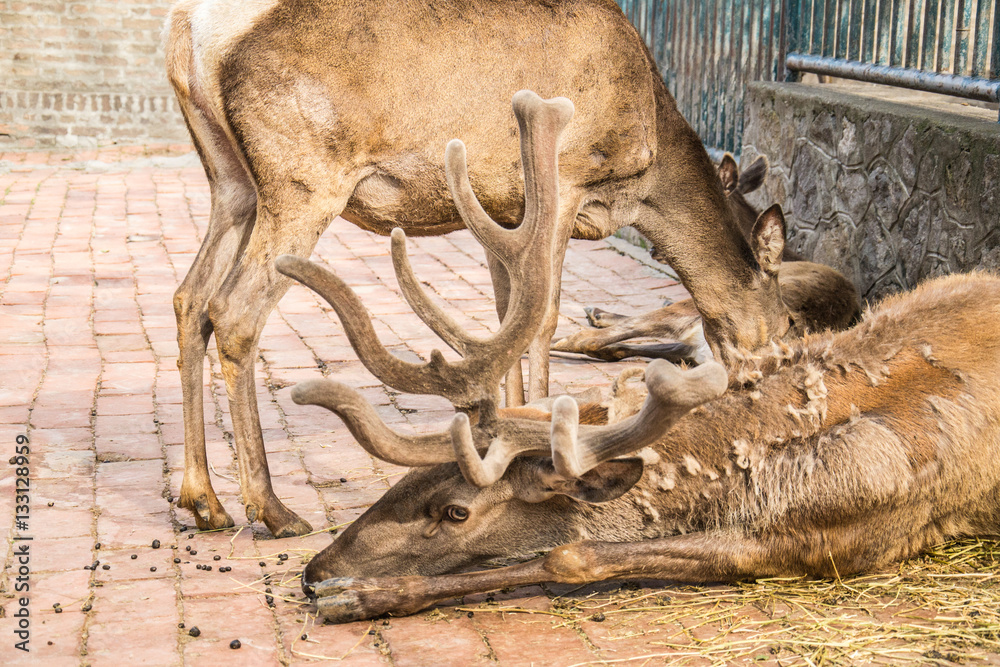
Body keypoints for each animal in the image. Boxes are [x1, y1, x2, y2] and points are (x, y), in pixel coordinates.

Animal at [163, 0, 794, 538]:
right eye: (789, 322)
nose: (780, 366)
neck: (647, 170)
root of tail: (189, 34)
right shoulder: (566, 177)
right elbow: (540, 319)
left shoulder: (504, 209)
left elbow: (504, 318)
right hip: (303, 177)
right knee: (233, 311)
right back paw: (271, 508)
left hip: (232, 180)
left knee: (190, 298)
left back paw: (203, 500)